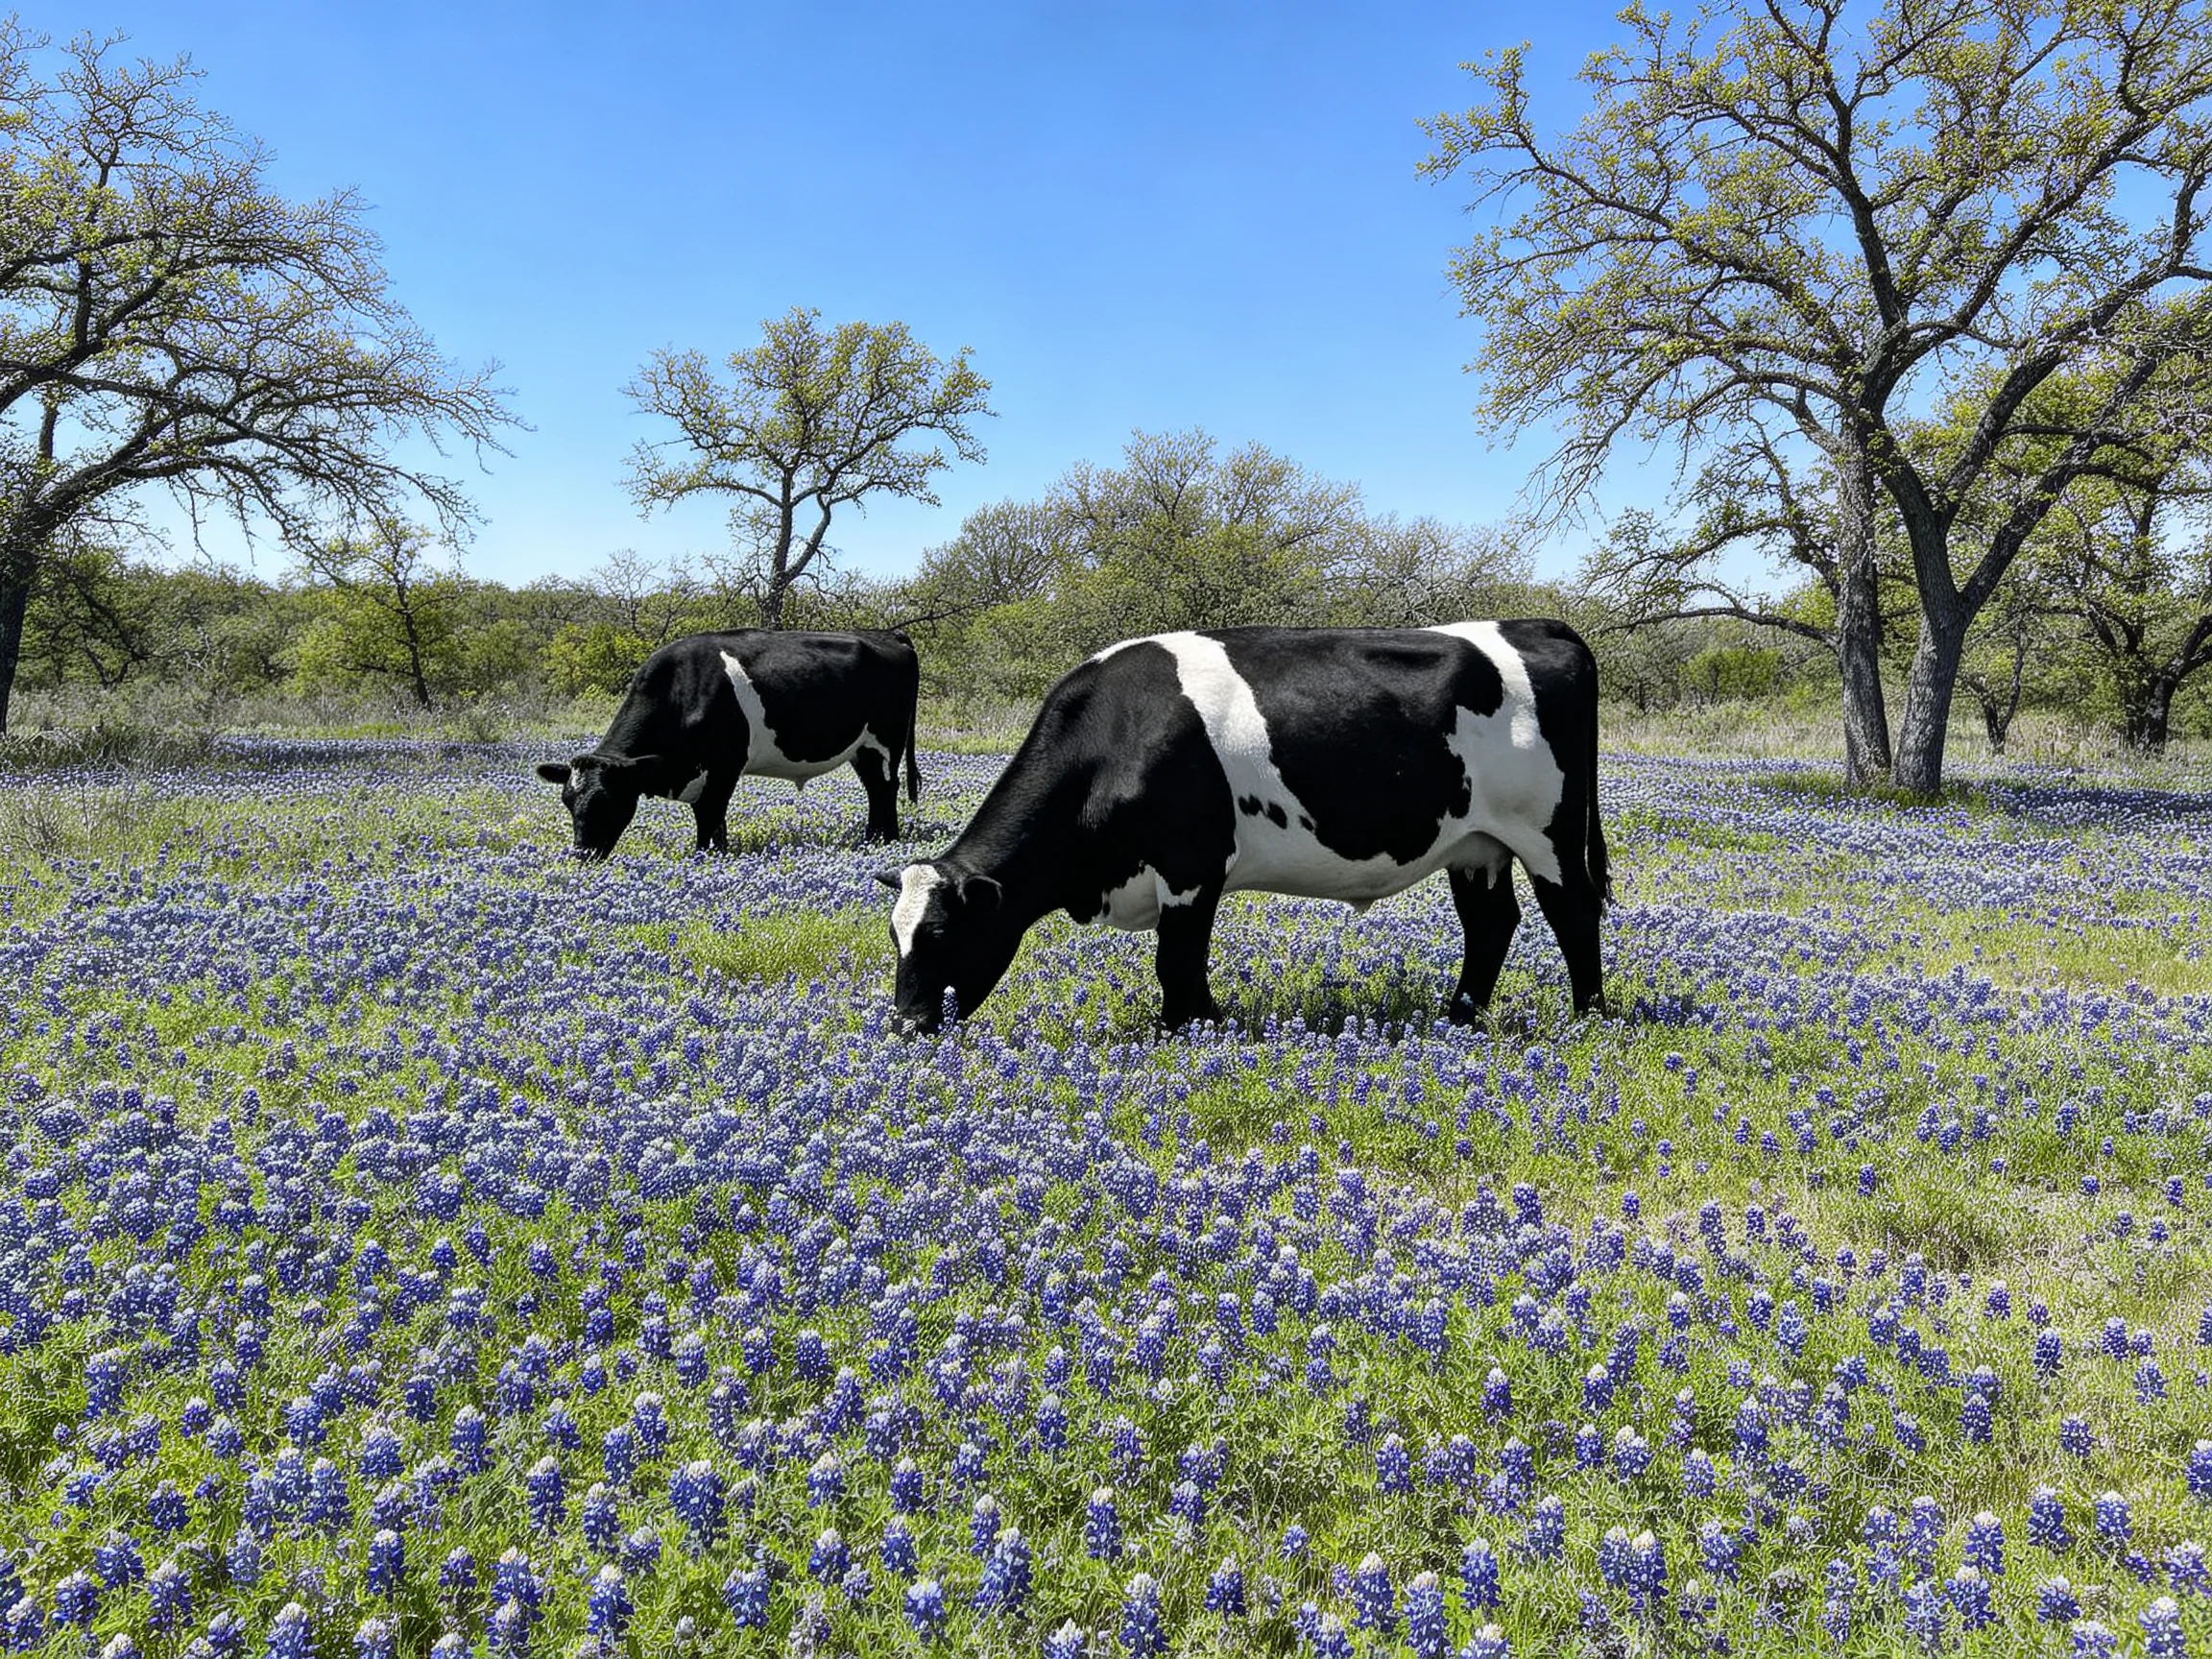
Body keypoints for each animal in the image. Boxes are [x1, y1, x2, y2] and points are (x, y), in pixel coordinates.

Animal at [537, 629, 921, 859]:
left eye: (607, 801)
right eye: (568, 801)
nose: (582, 855)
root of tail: (888, 634)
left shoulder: (724, 766)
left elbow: (710, 816)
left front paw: (709, 856)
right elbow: (709, 817)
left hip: (886, 742)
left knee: (887, 789)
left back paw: (886, 841)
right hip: (862, 749)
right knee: (875, 790)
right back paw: (870, 840)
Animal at [876, 620, 1608, 1031]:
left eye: (939, 933)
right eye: (894, 936)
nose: (906, 1026)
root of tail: (1542, 625)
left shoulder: (1191, 867)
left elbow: (1177, 962)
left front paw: (1192, 1029)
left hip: (1548, 832)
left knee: (1573, 913)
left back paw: (1589, 1018)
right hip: (1476, 844)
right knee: (1491, 924)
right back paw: (1460, 1017)